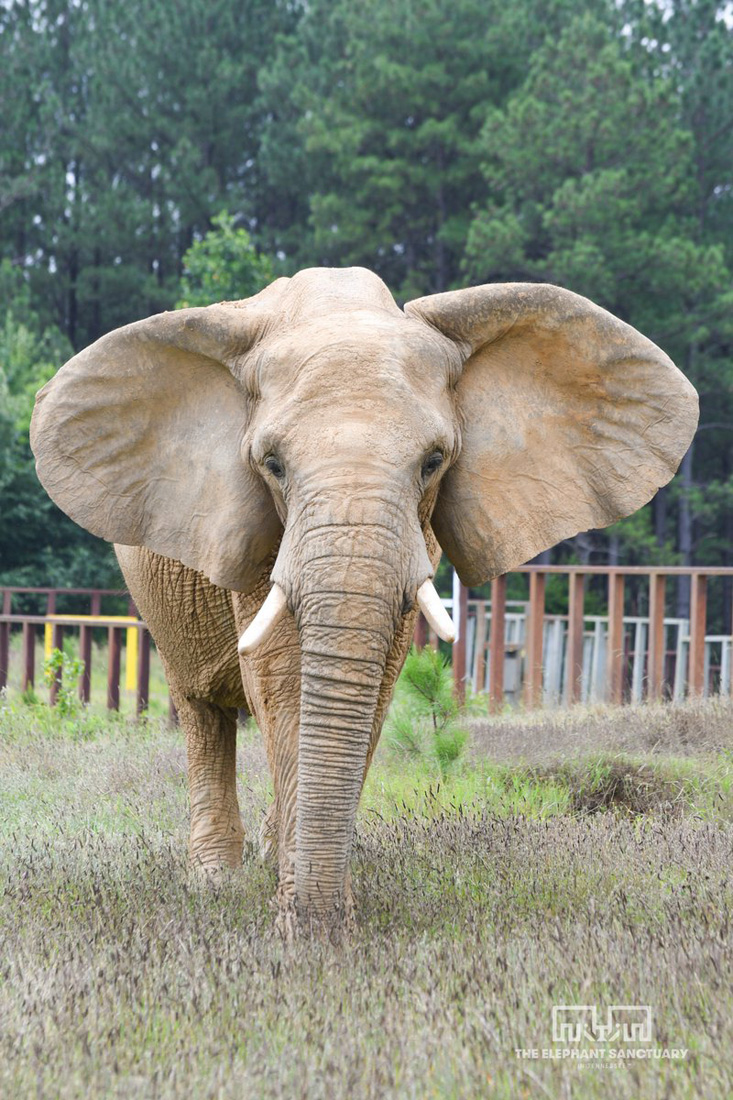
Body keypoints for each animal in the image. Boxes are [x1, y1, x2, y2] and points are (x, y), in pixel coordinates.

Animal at [28, 266, 695, 928]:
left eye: (433, 461)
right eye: (272, 464)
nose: (317, 922)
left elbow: (370, 681)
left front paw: (320, 904)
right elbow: (281, 675)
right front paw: (301, 918)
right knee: (201, 711)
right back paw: (215, 880)